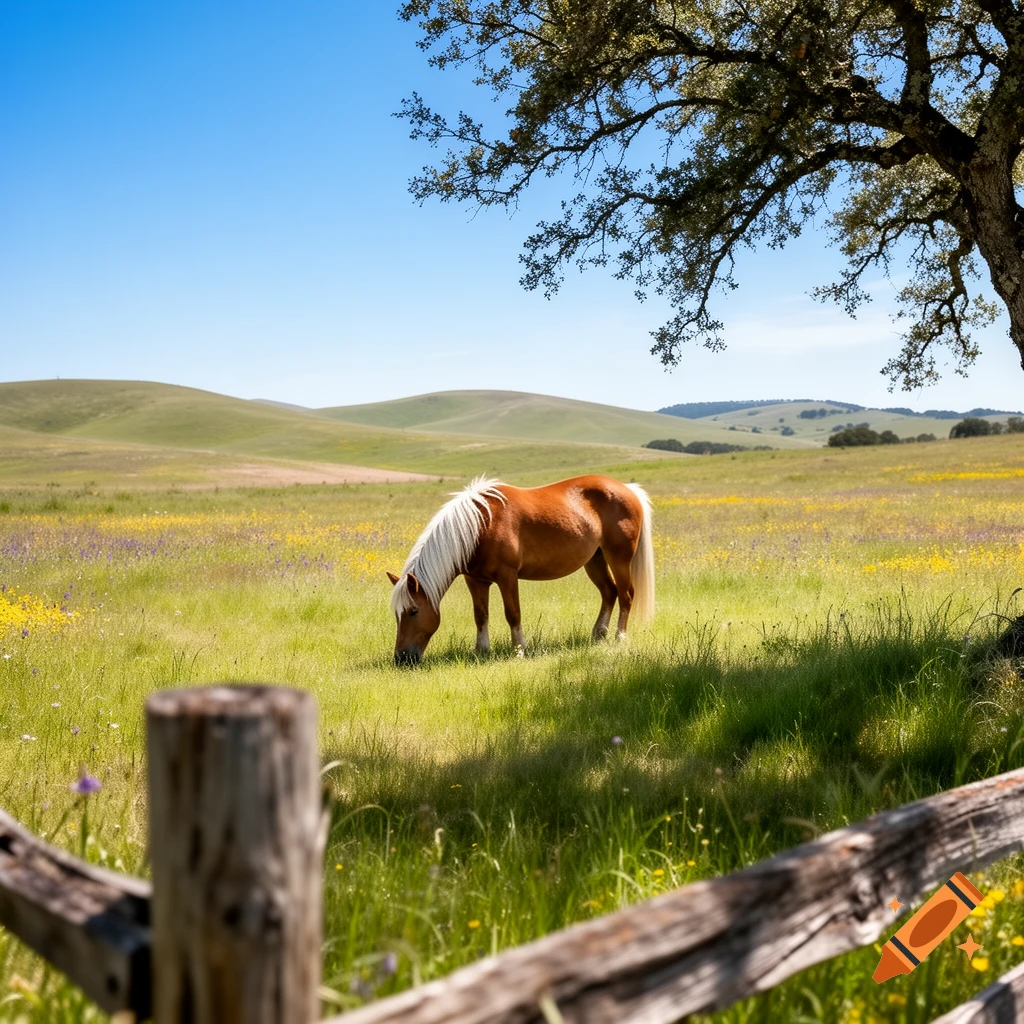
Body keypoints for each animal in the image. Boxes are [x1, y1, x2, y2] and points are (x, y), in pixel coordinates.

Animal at [386, 474, 654, 665]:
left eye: (413, 611)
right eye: (396, 614)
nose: (402, 658)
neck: (481, 524)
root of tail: (628, 489)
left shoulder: (507, 576)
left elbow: (513, 613)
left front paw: (519, 650)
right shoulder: (475, 580)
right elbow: (480, 615)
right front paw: (481, 651)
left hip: (619, 558)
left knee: (625, 594)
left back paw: (620, 636)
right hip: (594, 560)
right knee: (609, 592)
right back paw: (598, 634)